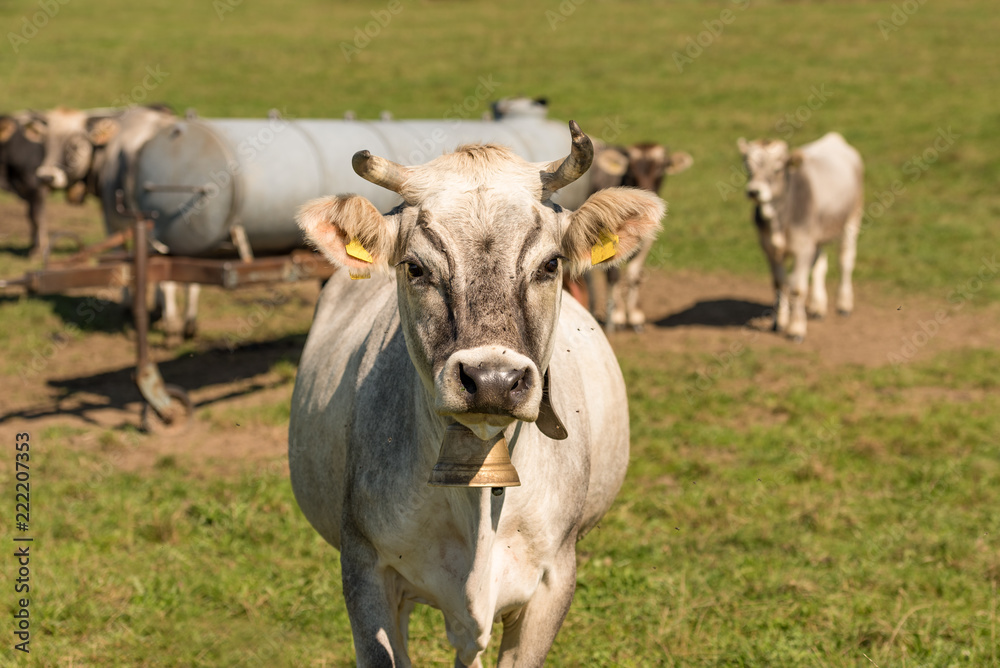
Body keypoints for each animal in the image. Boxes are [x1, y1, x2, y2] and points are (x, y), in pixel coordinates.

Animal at [0, 112, 49, 258]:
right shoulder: (26, 190)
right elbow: (31, 217)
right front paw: (34, 246)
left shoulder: (37, 187)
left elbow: (37, 217)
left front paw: (39, 251)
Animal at [584, 142, 692, 332]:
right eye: (630, 171)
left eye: (661, 169)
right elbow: (614, 274)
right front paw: (617, 317)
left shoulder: (647, 238)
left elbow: (634, 275)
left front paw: (635, 317)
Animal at [740, 132, 864, 340]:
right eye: (748, 167)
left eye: (777, 169)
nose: (754, 191)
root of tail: (834, 137)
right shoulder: (769, 249)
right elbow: (779, 284)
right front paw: (779, 322)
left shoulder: (803, 247)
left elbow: (797, 288)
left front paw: (796, 328)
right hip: (818, 233)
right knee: (820, 263)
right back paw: (818, 307)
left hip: (852, 218)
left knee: (845, 260)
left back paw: (844, 304)